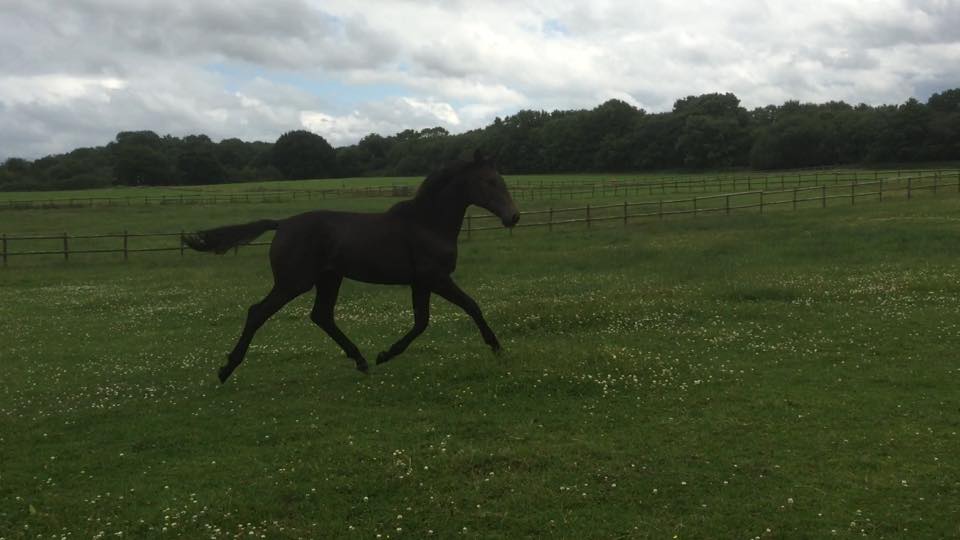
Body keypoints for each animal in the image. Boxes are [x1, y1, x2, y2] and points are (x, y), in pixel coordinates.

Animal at [184, 150, 520, 382]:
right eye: (488, 182)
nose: (513, 217)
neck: (427, 223)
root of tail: (282, 224)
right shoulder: (436, 278)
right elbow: (471, 306)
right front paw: (499, 350)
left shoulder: (421, 282)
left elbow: (421, 322)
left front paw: (384, 354)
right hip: (294, 282)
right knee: (258, 312)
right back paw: (226, 369)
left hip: (329, 279)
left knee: (321, 316)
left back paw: (361, 360)